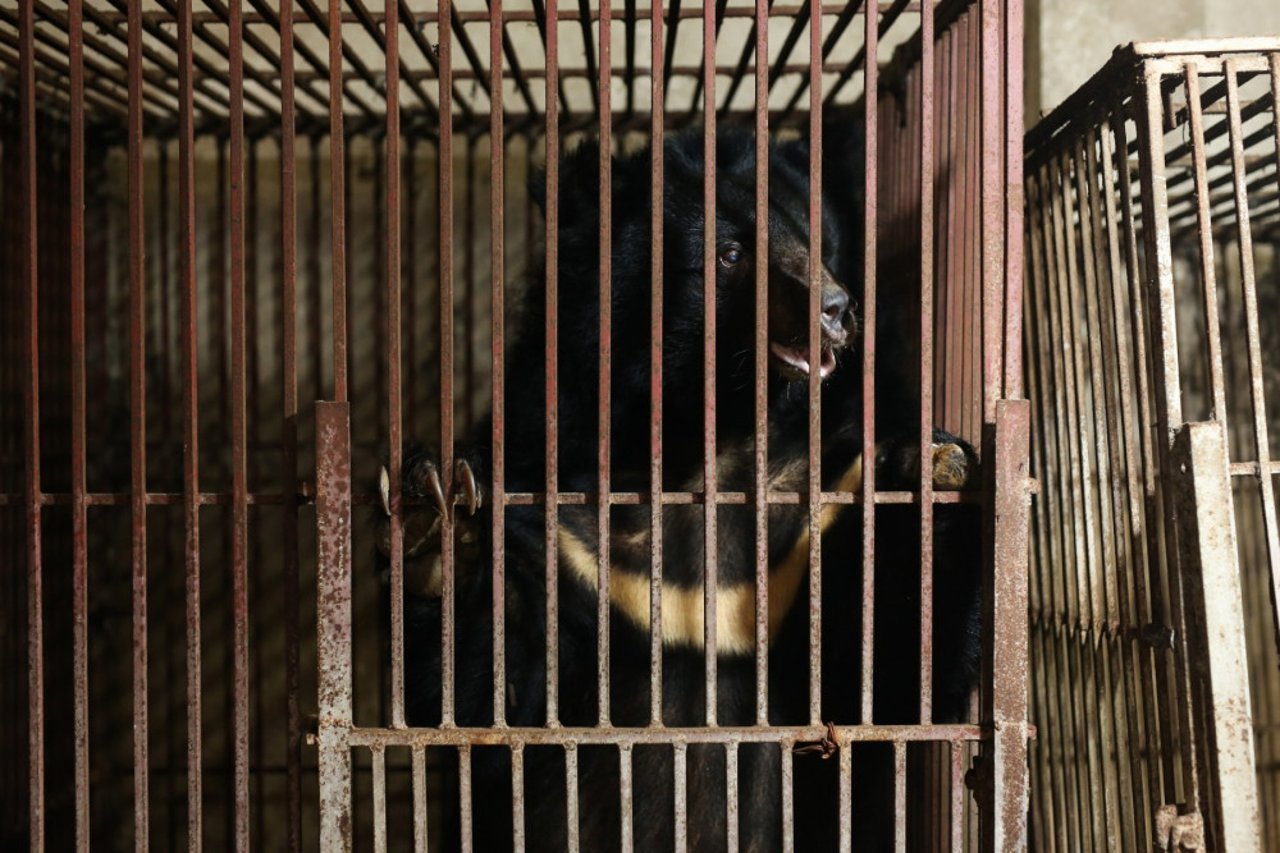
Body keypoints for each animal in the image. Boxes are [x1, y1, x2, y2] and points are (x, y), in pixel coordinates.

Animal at [376, 121, 977, 850]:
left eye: (817, 240)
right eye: (729, 253)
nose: (834, 309)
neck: (703, 441)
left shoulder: (815, 513)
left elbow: (890, 680)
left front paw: (930, 467)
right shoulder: (560, 524)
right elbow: (485, 705)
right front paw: (445, 512)